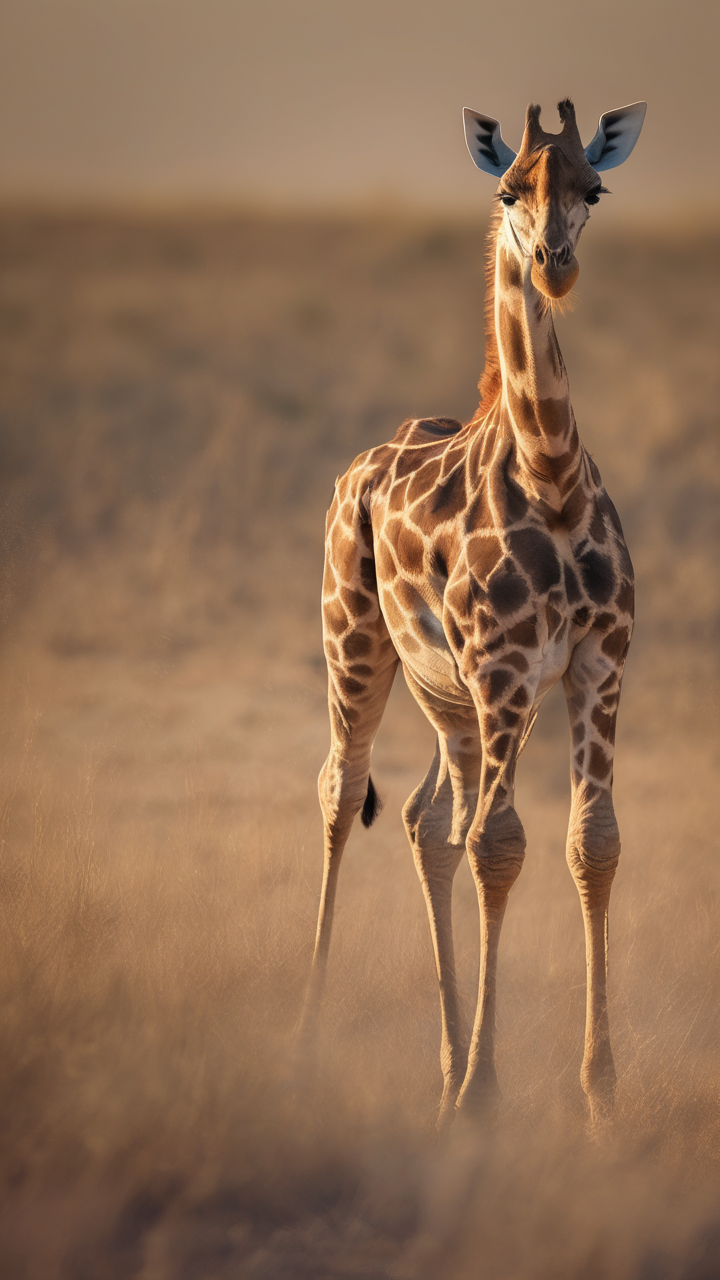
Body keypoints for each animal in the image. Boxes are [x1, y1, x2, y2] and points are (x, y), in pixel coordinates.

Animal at [303, 99, 646, 1128]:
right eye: (508, 190)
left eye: (593, 188)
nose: (555, 265)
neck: (552, 474)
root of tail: (359, 463)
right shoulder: (503, 667)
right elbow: (502, 844)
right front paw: (488, 1097)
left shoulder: (596, 662)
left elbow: (590, 844)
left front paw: (599, 1095)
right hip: (355, 644)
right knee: (343, 792)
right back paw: (305, 1049)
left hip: (455, 703)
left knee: (427, 822)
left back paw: (445, 1064)